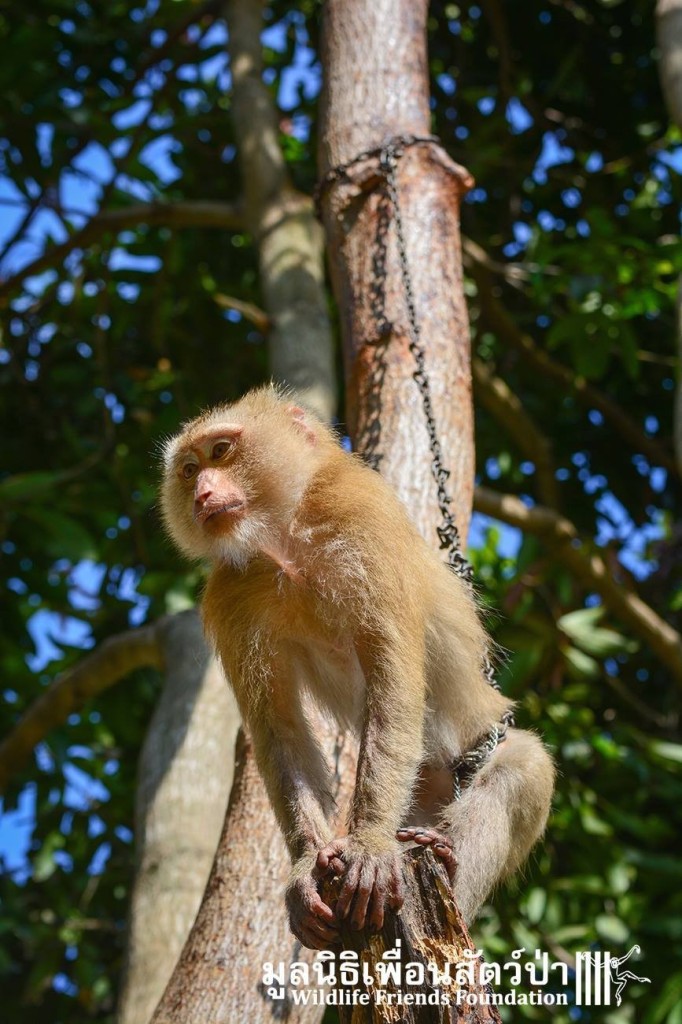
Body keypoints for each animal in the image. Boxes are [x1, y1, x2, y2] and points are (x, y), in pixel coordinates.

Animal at [159, 385, 552, 950]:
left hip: (468, 751)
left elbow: (394, 681)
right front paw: (306, 867)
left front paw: (366, 846)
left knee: (521, 769)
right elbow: (279, 729)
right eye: (189, 470)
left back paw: (446, 861)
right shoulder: (233, 596)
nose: (202, 493)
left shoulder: (363, 519)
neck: (287, 537)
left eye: (221, 451)